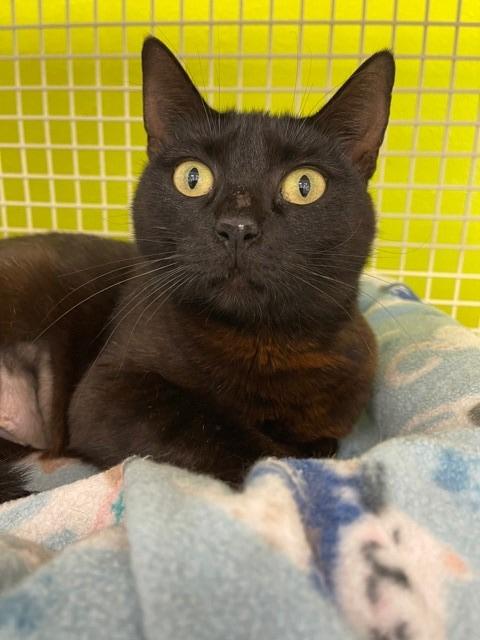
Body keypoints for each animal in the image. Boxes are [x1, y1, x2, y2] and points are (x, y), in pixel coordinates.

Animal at [0, 37, 395, 499]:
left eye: (304, 185)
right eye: (192, 177)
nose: (237, 227)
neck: (262, 344)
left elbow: (313, 441)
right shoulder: (108, 394)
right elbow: (234, 439)